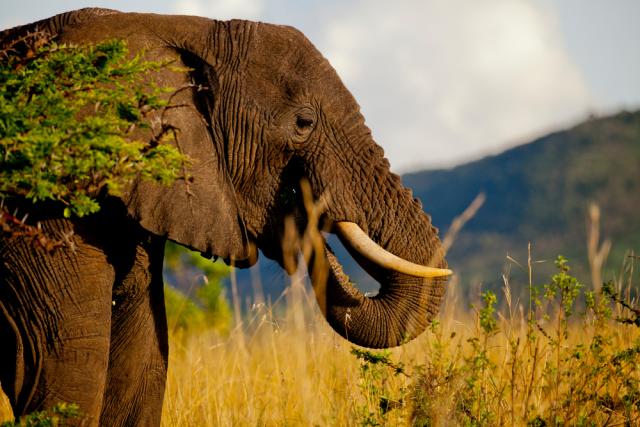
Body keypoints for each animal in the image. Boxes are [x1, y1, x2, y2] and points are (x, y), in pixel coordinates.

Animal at [0, 8, 450, 426]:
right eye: (303, 122)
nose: (305, 214)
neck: (174, 28)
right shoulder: (43, 207)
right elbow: (69, 372)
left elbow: (141, 365)